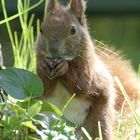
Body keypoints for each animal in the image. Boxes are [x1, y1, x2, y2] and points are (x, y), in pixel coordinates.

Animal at [35, 0, 139, 139]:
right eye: (41, 29)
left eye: (73, 30)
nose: (53, 51)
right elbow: (44, 87)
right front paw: (44, 66)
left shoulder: (90, 72)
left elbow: (82, 85)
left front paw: (64, 68)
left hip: (99, 120)